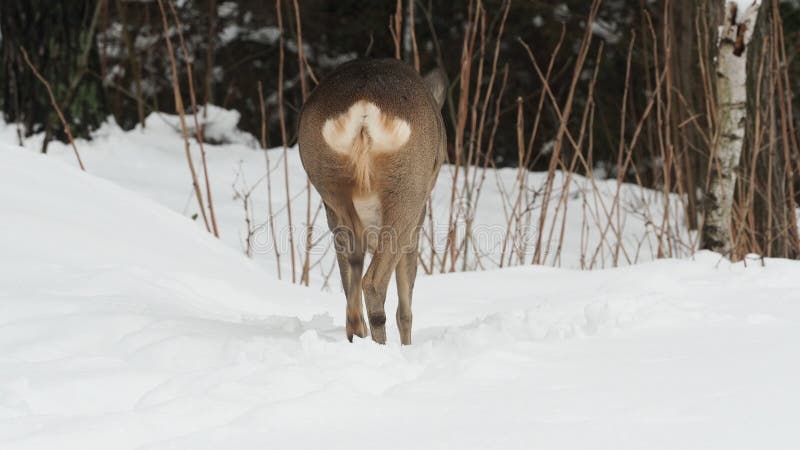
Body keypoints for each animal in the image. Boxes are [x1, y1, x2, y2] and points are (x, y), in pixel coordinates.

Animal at [296, 57, 446, 344]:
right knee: (373, 283)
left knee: (351, 280)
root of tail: (364, 107)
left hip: (330, 189)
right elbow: (406, 302)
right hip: (407, 190)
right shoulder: (418, 217)